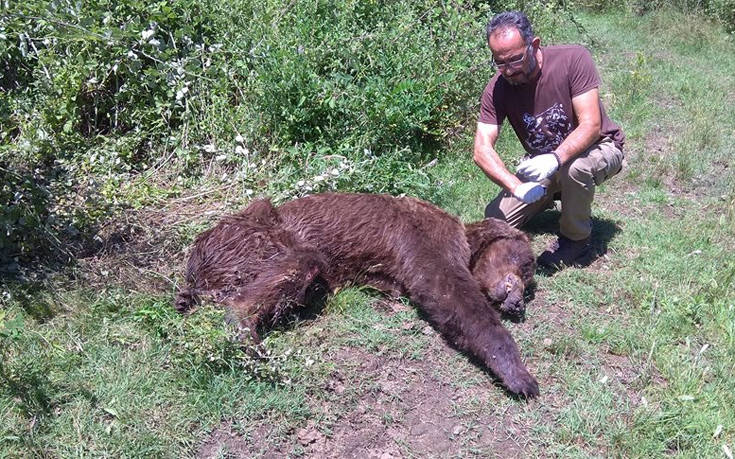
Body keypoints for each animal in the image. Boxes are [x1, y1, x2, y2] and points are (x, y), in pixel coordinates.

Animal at [175, 192, 536, 398]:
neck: (466, 240)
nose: (517, 302)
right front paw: (518, 373)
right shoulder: (429, 240)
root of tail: (194, 268)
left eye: (527, 275)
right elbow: (451, 296)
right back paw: (245, 334)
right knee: (296, 263)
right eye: (527, 265)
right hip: (252, 240)